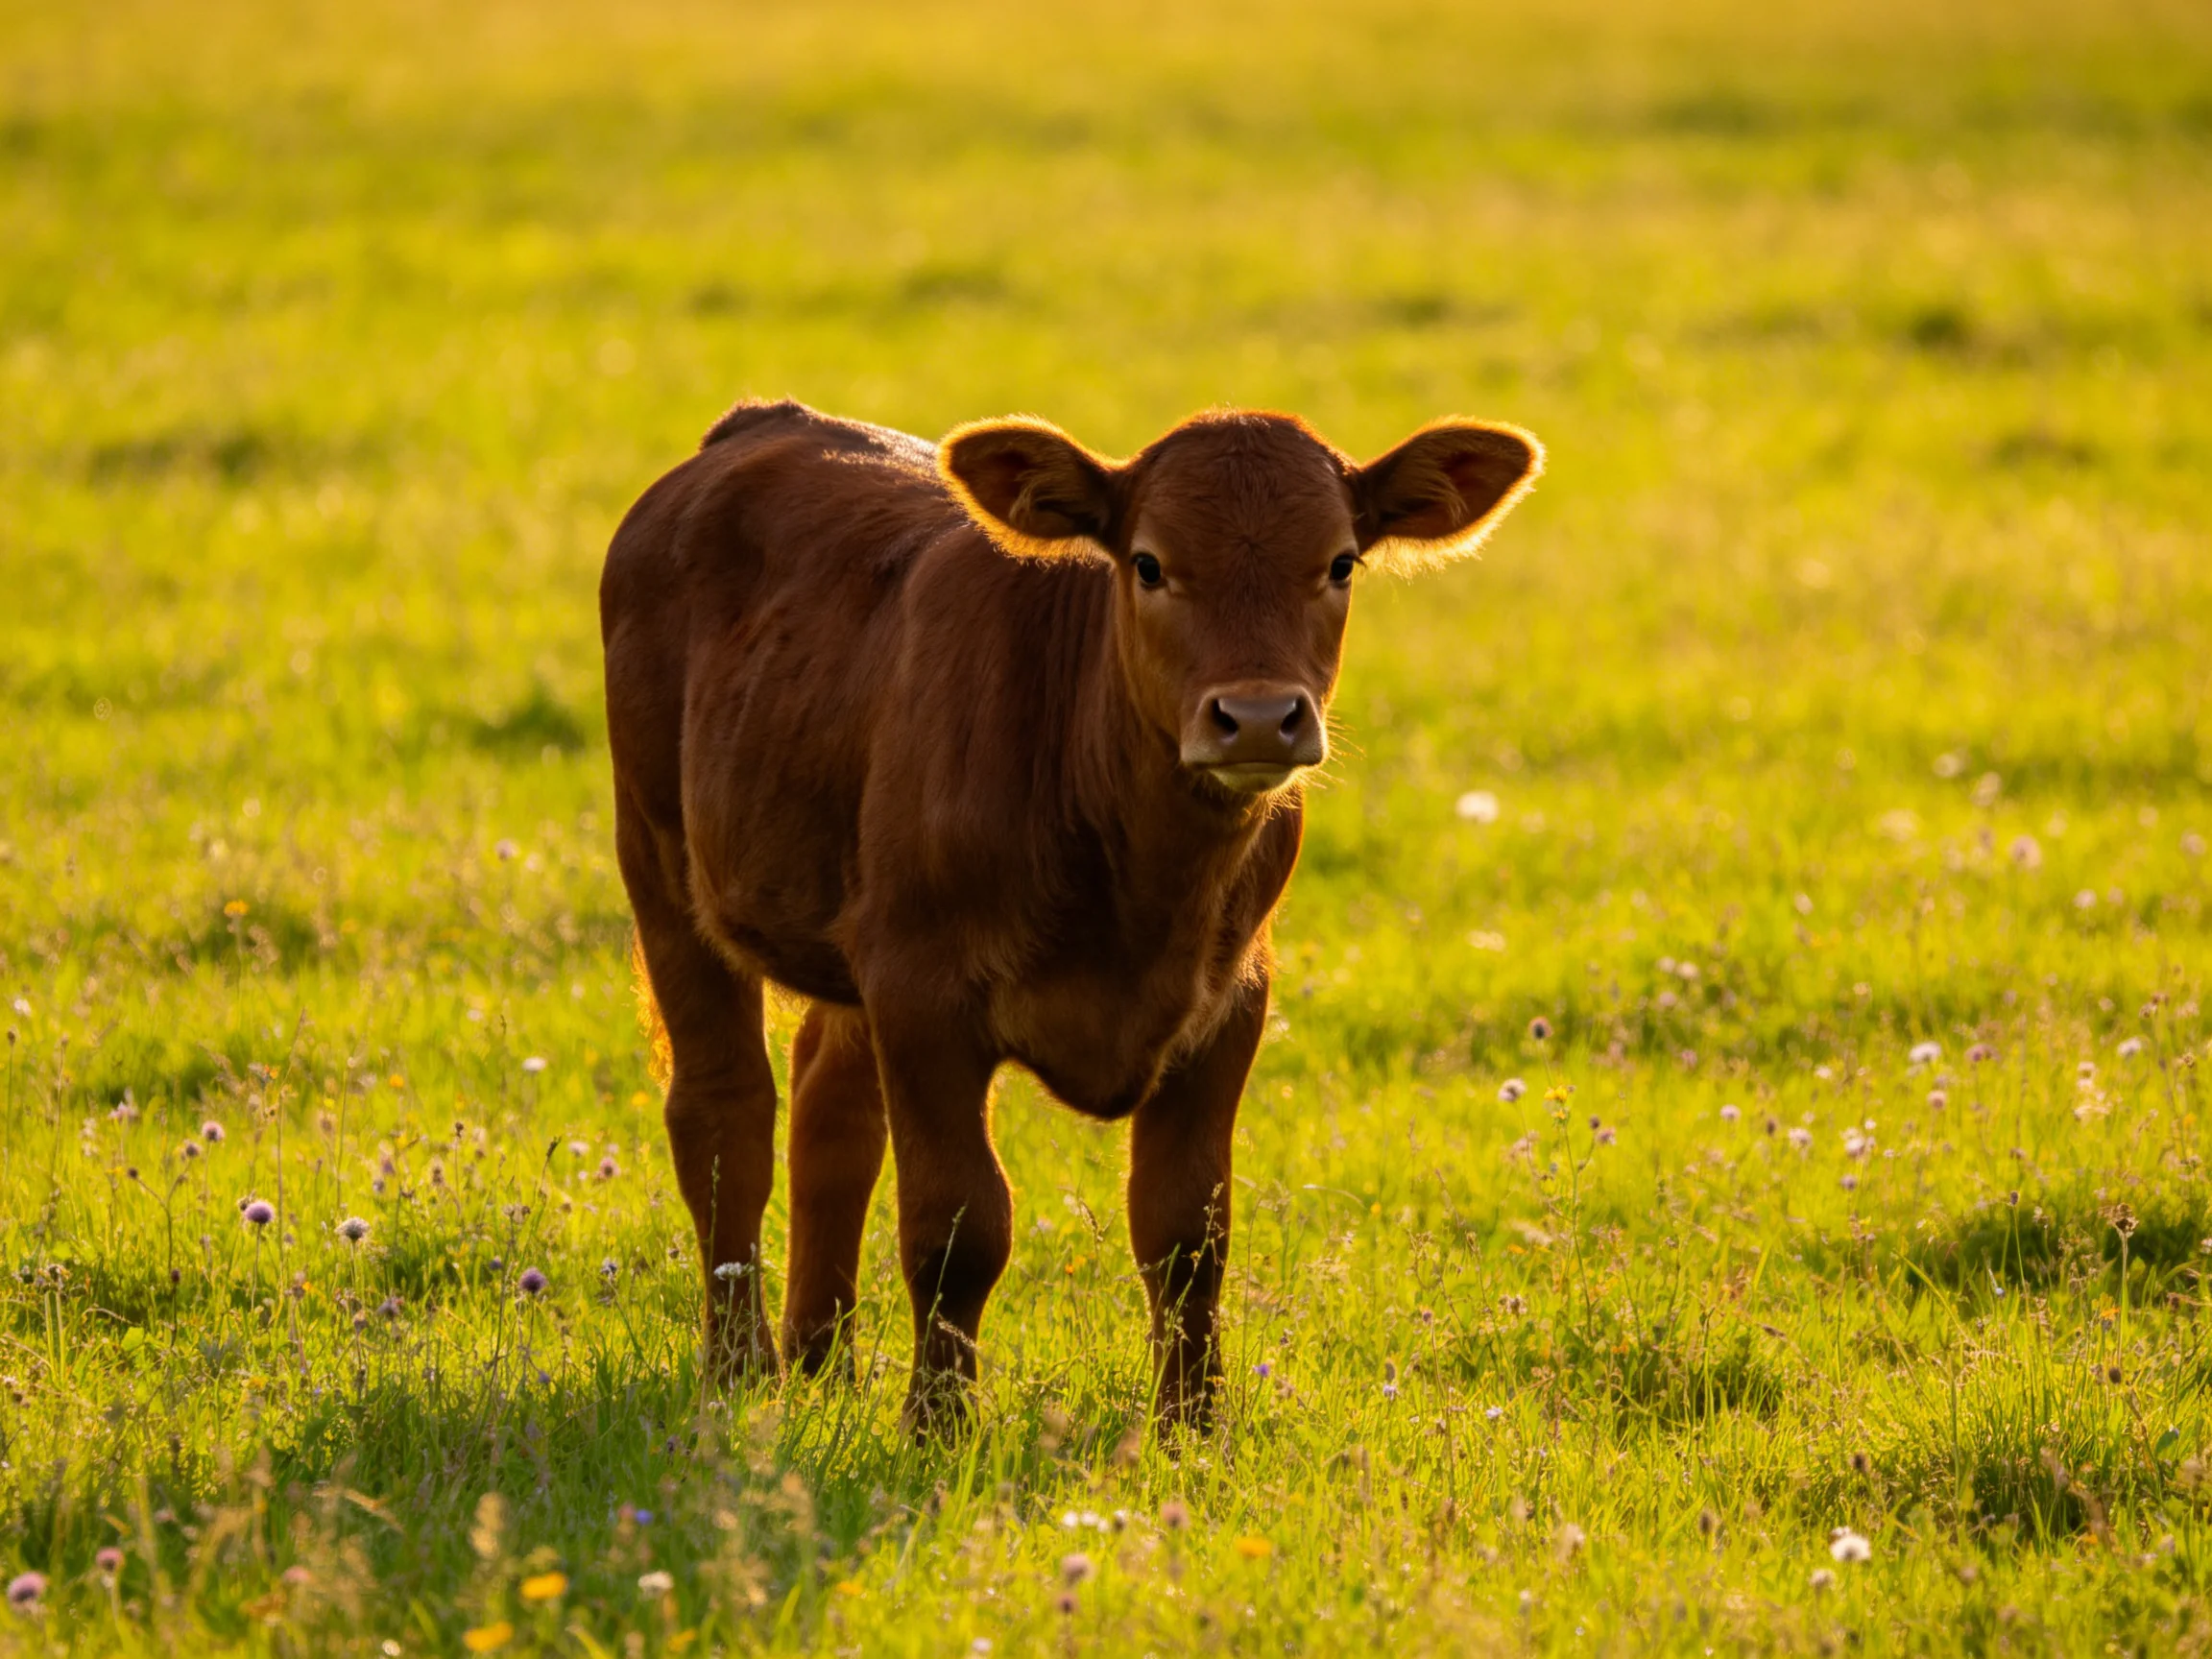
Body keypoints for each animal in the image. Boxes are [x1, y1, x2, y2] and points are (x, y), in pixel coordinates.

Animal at [600, 398, 1541, 1432]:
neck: (1141, 890)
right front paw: (939, 1429)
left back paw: (821, 1367)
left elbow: (1187, 1232)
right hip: (661, 860)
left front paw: (1191, 1431)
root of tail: (759, 425)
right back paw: (739, 1373)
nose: (1258, 717)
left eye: (1339, 562)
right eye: (1149, 563)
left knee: (830, 1112)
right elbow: (956, 1226)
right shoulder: (923, 992)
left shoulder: (1229, 1000)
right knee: (725, 1113)